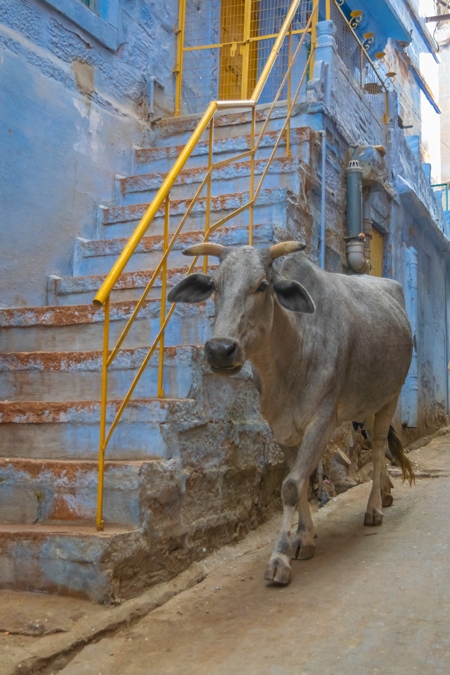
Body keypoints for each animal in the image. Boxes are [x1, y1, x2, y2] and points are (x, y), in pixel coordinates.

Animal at [169, 240, 414, 584]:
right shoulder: (281, 427)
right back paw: (386, 491)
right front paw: (304, 538)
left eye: (262, 285)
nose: (220, 349)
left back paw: (374, 508)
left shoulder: (322, 420)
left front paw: (279, 558)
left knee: (379, 448)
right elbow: (299, 483)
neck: (293, 351)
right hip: (365, 403)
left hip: (391, 395)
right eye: (215, 285)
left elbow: (291, 486)